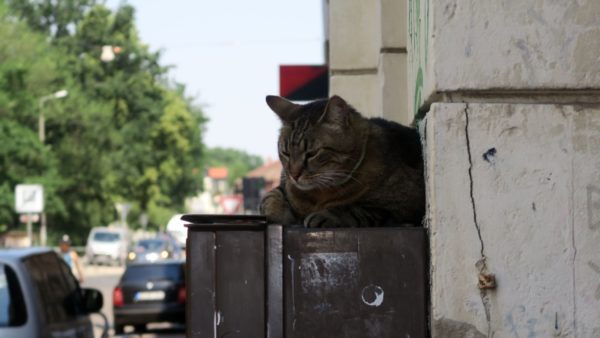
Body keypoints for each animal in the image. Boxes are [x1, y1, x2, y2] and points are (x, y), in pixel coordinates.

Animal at [260, 94, 424, 227]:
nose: (294, 175)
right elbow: (269, 197)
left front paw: (326, 215)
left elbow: (356, 209)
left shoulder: (404, 204)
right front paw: (277, 212)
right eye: (285, 153)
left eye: (312, 153)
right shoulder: (284, 184)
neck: (318, 194)